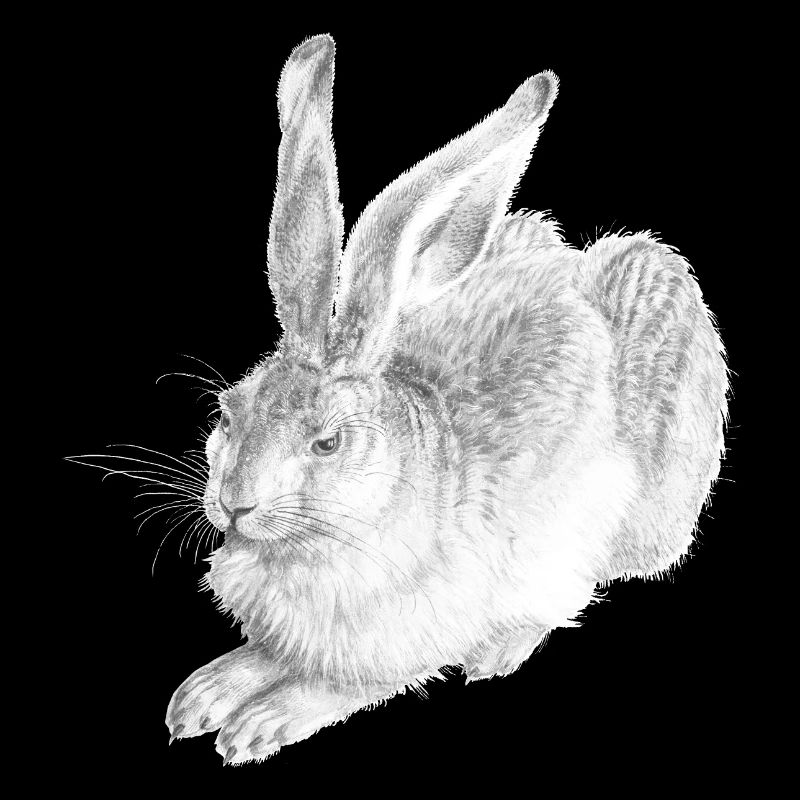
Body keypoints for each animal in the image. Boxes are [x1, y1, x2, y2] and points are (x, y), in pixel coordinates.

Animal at [164, 34, 728, 764]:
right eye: (228, 414)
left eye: (328, 442)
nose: (234, 504)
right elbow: (264, 655)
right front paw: (204, 694)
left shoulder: (412, 632)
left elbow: (343, 682)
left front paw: (260, 721)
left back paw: (500, 650)